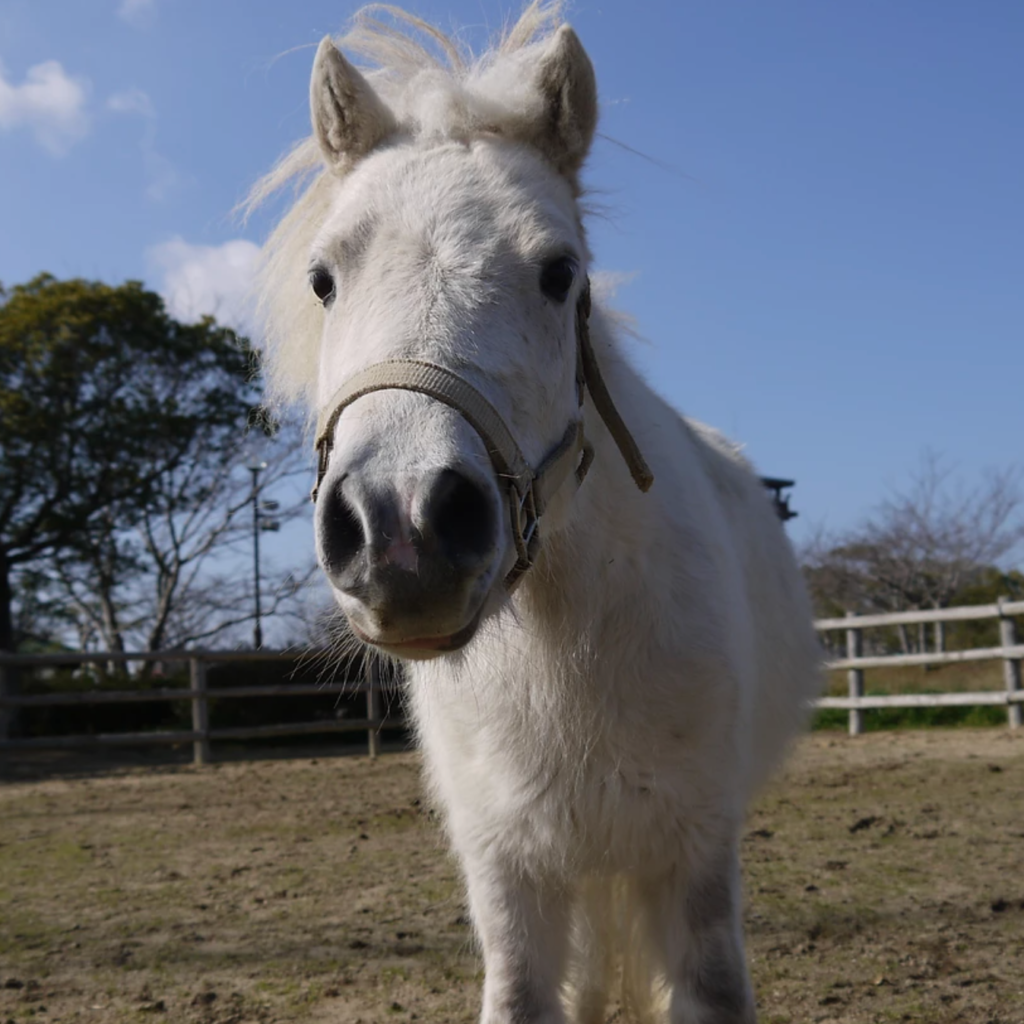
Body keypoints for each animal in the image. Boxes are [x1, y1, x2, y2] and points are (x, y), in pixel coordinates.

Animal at [253, 4, 823, 1019]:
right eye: (323, 280)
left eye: (560, 273)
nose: (402, 529)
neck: (566, 649)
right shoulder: (508, 867)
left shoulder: (694, 856)